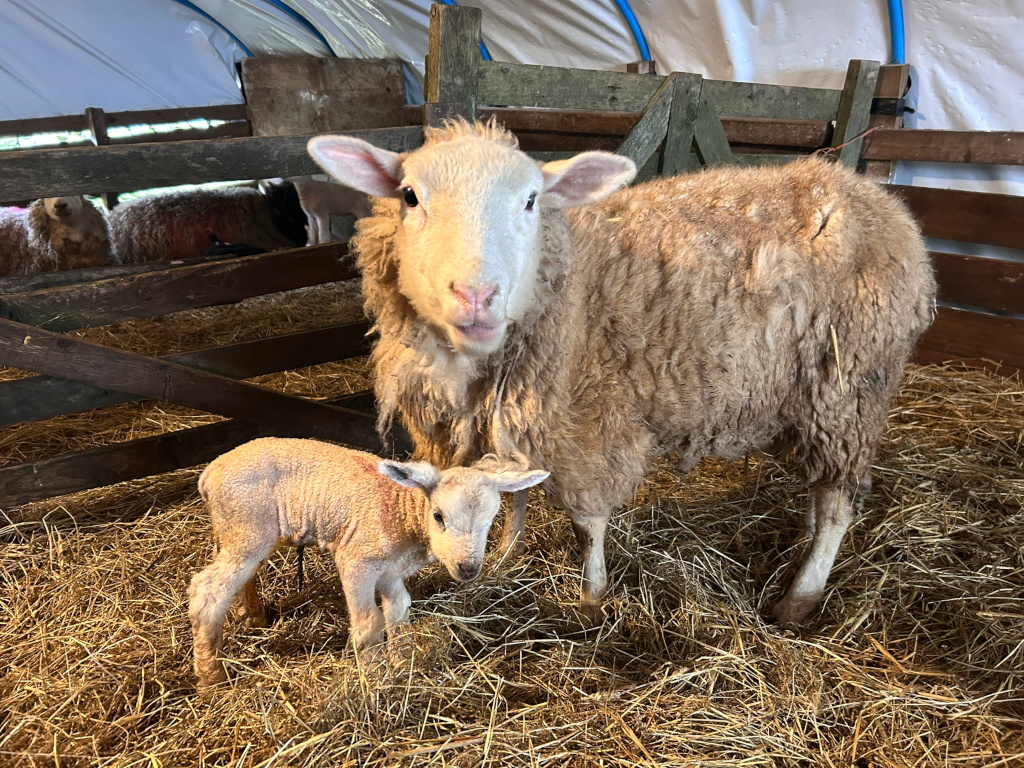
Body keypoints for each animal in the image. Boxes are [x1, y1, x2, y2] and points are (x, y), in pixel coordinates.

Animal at [188, 437, 548, 687]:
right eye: (438, 516)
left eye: (492, 520)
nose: (468, 569)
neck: (404, 512)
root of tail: (209, 472)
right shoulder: (357, 561)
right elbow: (369, 622)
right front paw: (373, 676)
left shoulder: (392, 571)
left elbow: (398, 611)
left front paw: (400, 662)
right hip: (247, 525)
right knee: (208, 592)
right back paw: (211, 677)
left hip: (237, 531)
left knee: (238, 578)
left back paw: (253, 617)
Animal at [306, 119, 937, 627]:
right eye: (410, 196)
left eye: (532, 200)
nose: (476, 296)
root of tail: (882, 203)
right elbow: (512, 496)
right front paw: (504, 554)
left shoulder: (586, 423)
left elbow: (588, 523)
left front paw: (592, 597)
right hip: (817, 401)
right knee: (821, 485)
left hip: (851, 389)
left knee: (838, 502)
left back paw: (799, 597)